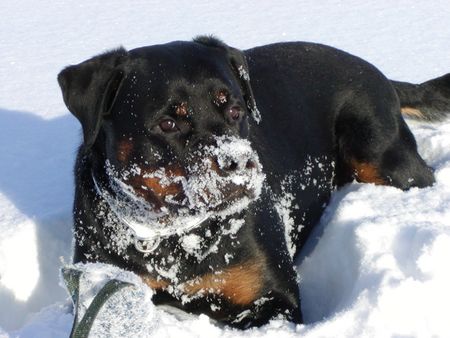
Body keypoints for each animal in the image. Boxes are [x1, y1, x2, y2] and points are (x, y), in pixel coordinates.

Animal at [58, 36, 450, 328]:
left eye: (235, 110)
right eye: (168, 123)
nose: (239, 163)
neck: (176, 235)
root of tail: (381, 74)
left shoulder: (274, 299)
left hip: (378, 151)